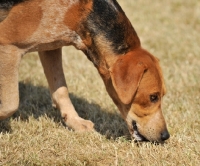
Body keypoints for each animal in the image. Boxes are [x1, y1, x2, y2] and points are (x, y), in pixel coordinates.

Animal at [0, 0, 170, 143]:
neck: (82, 11)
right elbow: (11, 105)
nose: (166, 136)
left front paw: (75, 122)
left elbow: (61, 90)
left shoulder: (51, 47)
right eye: (153, 97)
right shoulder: (8, 44)